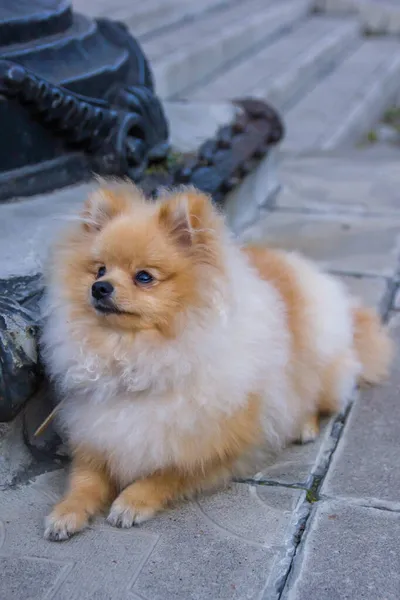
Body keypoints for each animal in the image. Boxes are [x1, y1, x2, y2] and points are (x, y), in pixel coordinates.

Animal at [42, 180, 392, 540]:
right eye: (99, 269)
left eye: (144, 277)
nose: (100, 287)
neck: (136, 357)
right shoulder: (95, 436)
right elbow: (84, 479)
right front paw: (67, 512)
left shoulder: (213, 449)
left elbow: (167, 473)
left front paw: (132, 500)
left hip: (321, 362)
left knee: (318, 398)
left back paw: (304, 425)